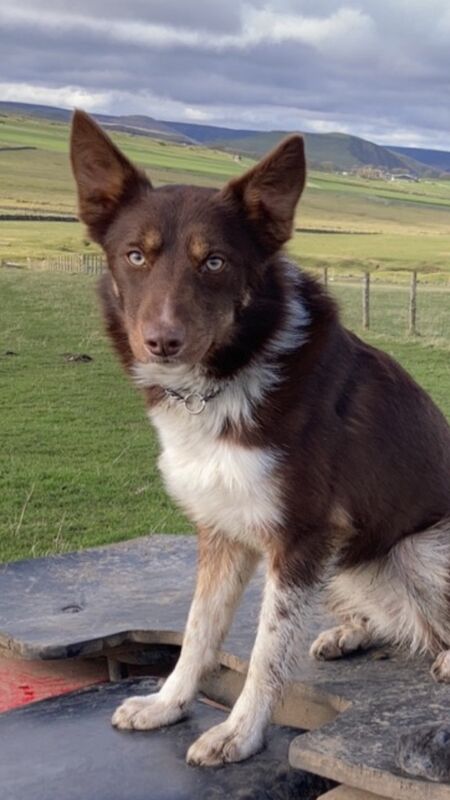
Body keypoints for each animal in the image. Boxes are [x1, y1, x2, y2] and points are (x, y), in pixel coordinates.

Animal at [69, 109, 450, 764]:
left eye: (215, 261)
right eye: (135, 255)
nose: (161, 342)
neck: (222, 381)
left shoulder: (302, 535)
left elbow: (269, 649)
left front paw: (239, 733)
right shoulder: (221, 529)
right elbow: (198, 629)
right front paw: (167, 704)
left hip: (415, 548)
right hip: (353, 559)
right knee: (388, 617)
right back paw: (349, 632)